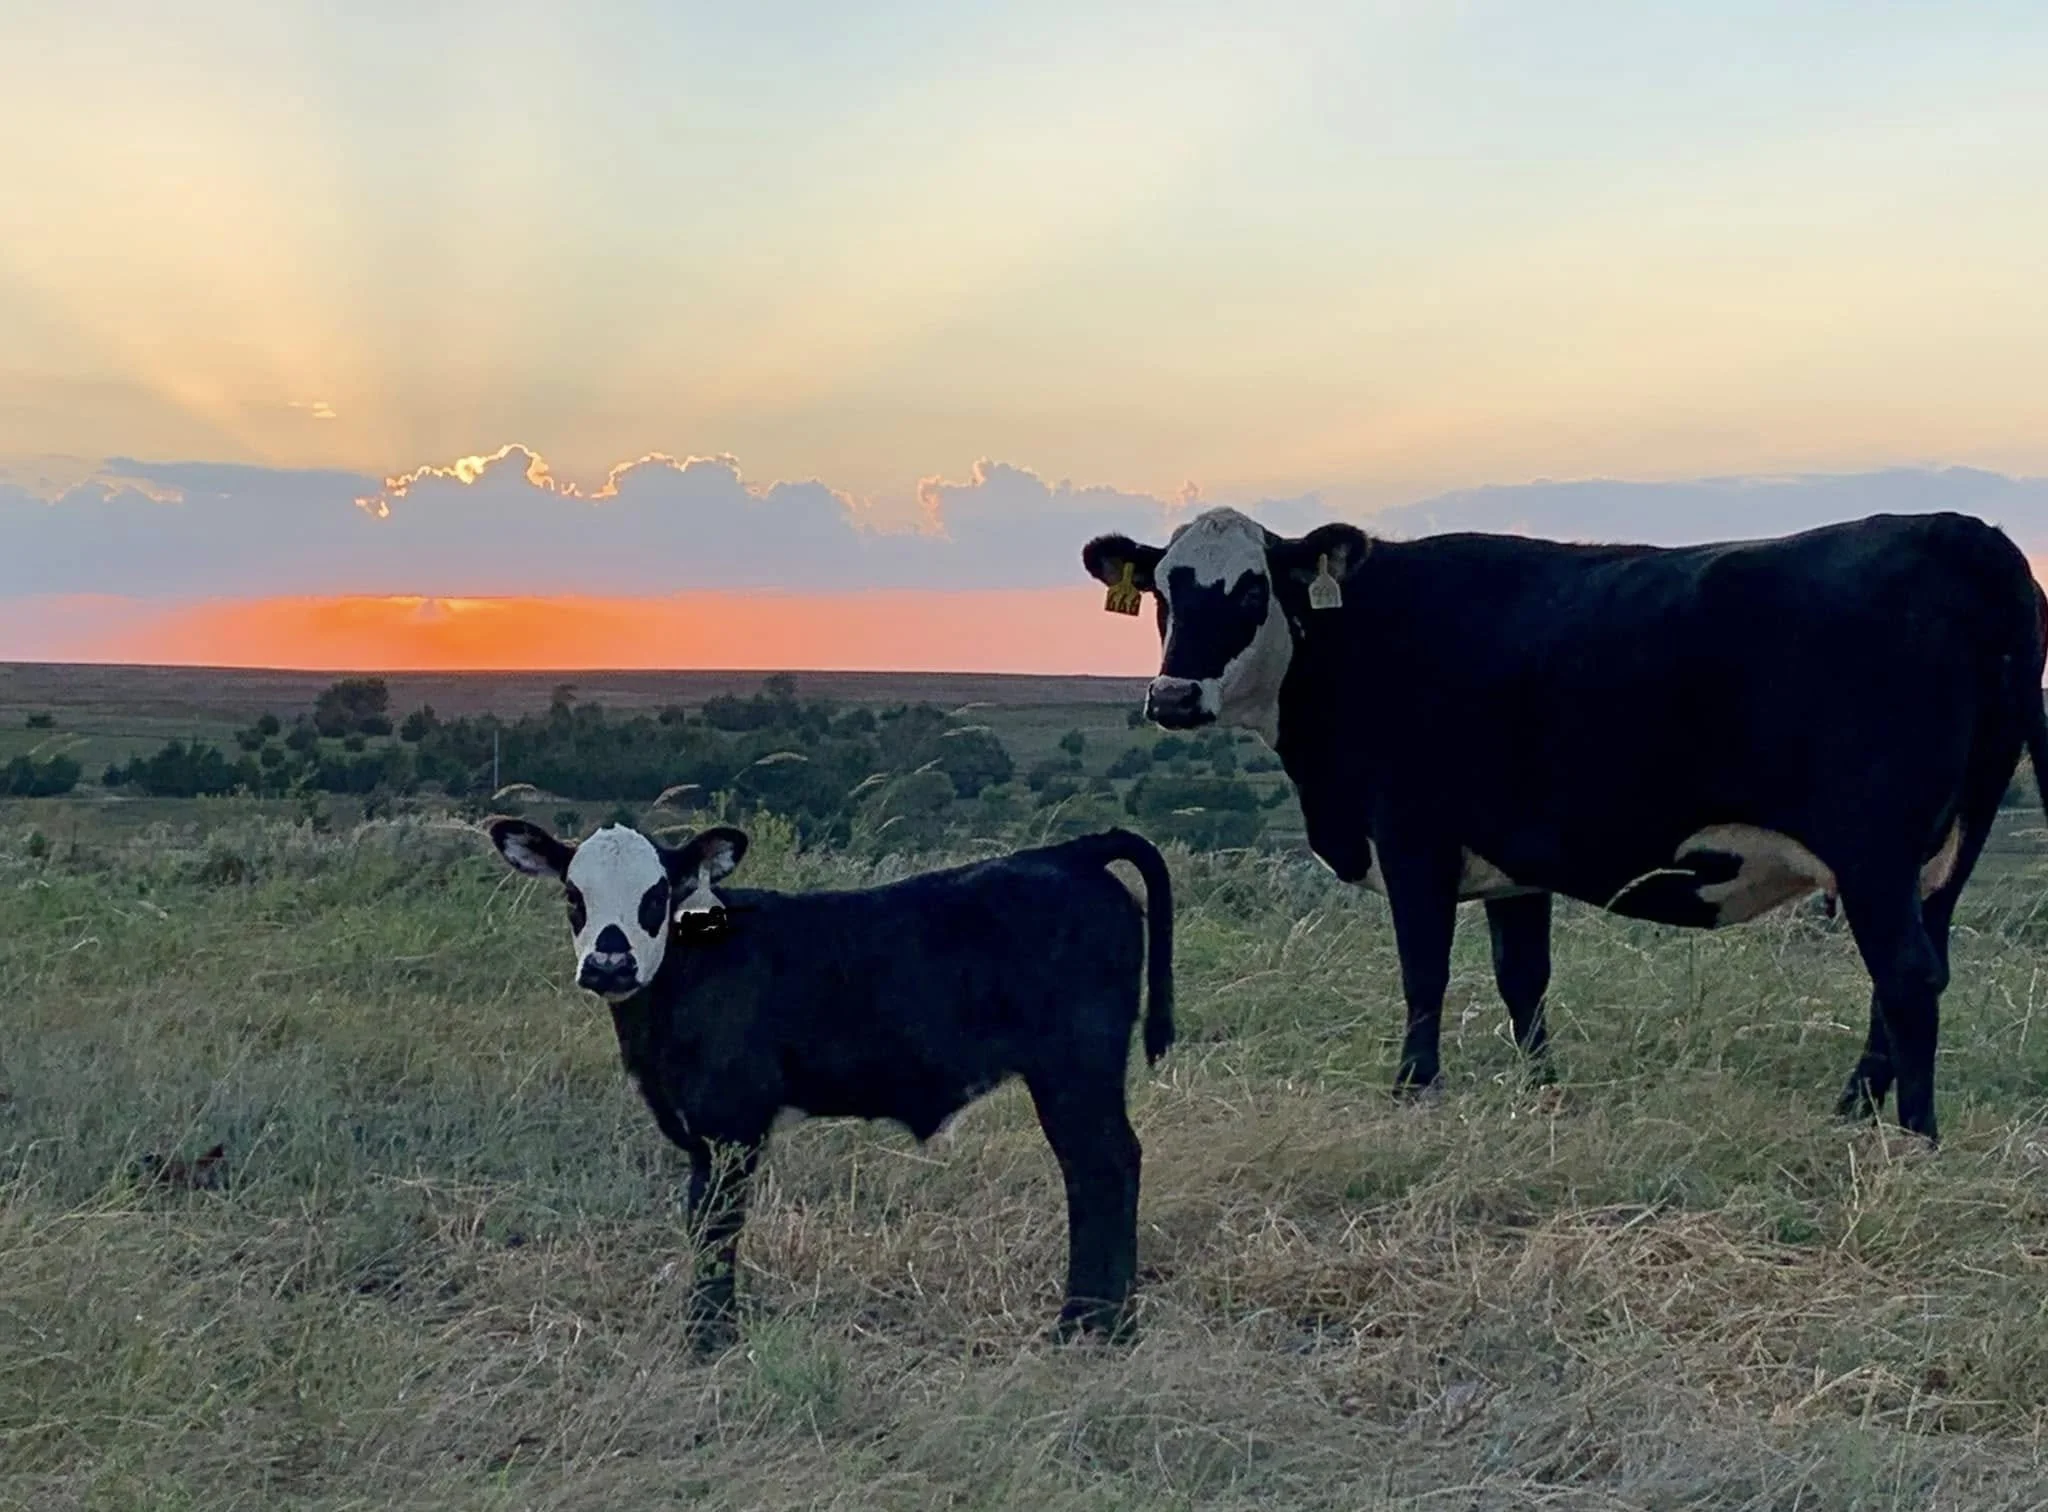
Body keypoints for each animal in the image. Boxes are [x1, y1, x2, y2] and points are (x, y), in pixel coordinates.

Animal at [484, 817, 1175, 1349]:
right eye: (574, 896)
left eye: (658, 895)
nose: (609, 963)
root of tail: (1068, 854)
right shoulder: (699, 1132)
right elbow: (700, 1220)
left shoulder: (732, 1125)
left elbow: (718, 1226)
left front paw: (710, 1339)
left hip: (1076, 1068)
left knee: (1105, 1166)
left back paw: (1096, 1329)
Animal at [1083, 505, 2048, 1143]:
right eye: (1166, 591)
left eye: (1252, 591)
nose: (1173, 697)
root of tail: (1955, 531)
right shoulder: (1516, 859)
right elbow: (1524, 980)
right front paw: (1539, 1091)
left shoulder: (1413, 838)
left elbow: (1425, 973)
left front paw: (1412, 1092)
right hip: (1942, 852)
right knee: (1913, 973)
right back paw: (1852, 1112)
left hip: (1874, 850)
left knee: (1908, 977)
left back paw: (1913, 1138)